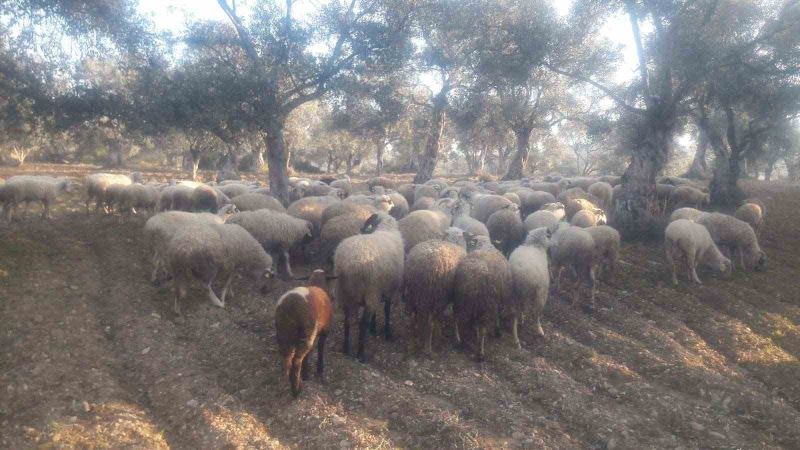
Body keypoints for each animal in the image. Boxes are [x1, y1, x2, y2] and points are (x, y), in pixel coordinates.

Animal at [276, 268, 332, 396]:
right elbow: (320, 349)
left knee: (287, 359)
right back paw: (296, 390)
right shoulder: (324, 331)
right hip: (306, 334)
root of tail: (292, 307)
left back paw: (286, 383)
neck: (317, 284)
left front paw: (306, 373)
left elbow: (309, 354)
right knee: (296, 361)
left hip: (284, 333)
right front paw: (318, 370)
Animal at [454, 232, 510, 362]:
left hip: (464, 299)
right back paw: (480, 352)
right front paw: (498, 331)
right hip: (483, 302)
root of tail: (479, 274)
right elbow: (498, 315)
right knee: (481, 326)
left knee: (459, 318)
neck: (483, 245)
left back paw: (460, 341)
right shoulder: (498, 299)